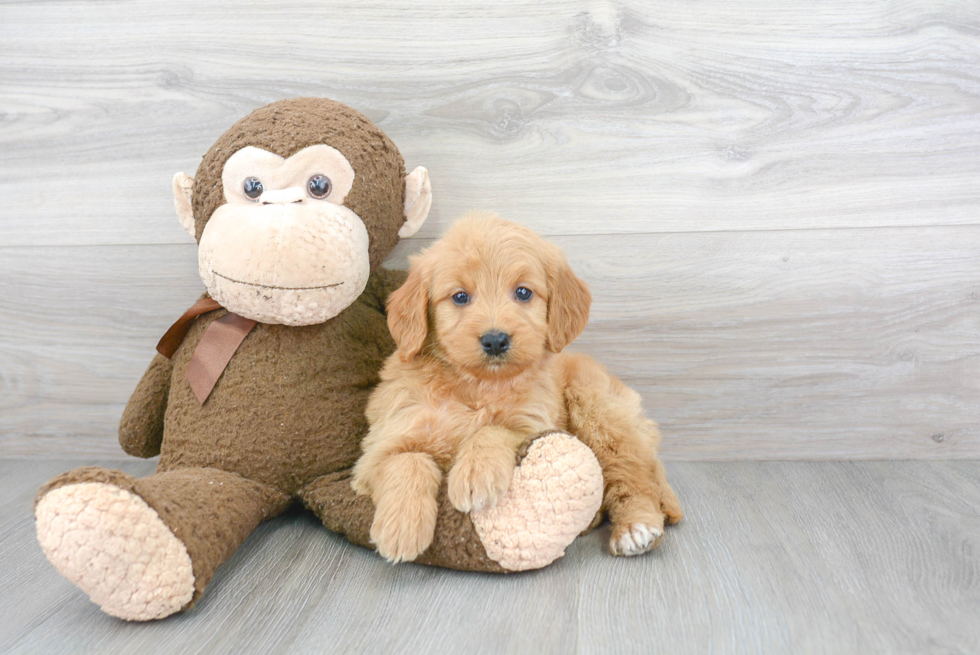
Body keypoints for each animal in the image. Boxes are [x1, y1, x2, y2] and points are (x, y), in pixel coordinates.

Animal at [352, 211, 680, 564]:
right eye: (460, 296)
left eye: (523, 293)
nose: (495, 340)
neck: (477, 387)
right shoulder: (378, 449)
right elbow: (407, 460)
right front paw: (402, 528)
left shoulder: (535, 423)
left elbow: (494, 429)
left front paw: (475, 473)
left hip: (598, 409)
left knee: (633, 479)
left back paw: (635, 528)